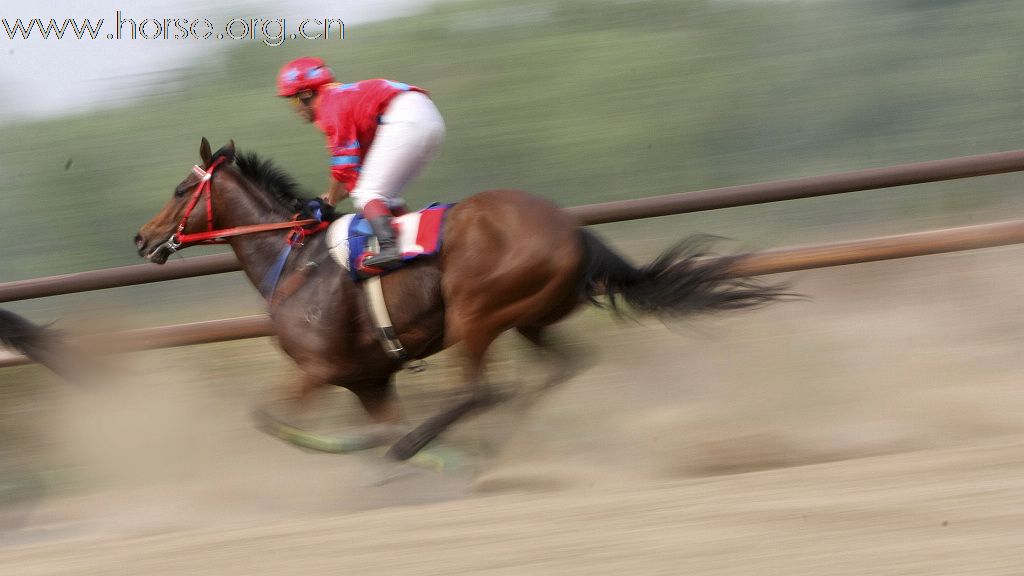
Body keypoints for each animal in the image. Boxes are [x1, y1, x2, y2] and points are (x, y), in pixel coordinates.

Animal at [134, 136, 790, 459]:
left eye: (179, 190)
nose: (142, 238)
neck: (295, 263)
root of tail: (573, 230)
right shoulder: (368, 381)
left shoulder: (318, 370)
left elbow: (270, 420)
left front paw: (366, 447)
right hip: (530, 317)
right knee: (554, 370)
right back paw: (498, 444)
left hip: (475, 311)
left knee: (481, 390)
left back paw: (425, 445)